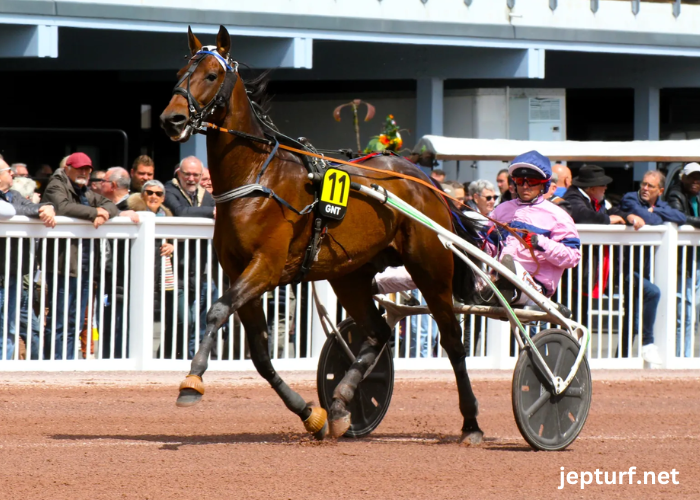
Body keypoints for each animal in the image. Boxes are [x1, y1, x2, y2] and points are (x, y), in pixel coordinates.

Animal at [161, 25, 484, 444]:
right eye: (179, 73)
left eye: (211, 75)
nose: (172, 119)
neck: (256, 178)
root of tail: (423, 178)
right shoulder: (238, 273)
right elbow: (261, 357)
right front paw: (310, 414)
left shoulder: (265, 268)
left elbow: (216, 311)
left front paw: (192, 381)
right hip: (350, 274)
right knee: (378, 333)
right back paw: (342, 404)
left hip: (430, 266)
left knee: (453, 341)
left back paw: (471, 423)